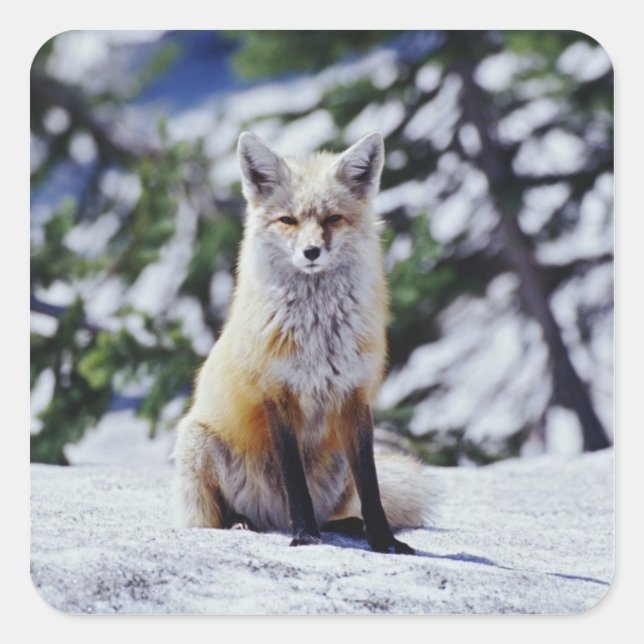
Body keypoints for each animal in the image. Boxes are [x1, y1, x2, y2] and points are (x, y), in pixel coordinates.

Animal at [172, 131, 432, 554]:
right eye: (288, 220)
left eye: (332, 219)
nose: (311, 251)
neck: (318, 335)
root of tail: (273, 519)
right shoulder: (277, 395)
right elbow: (295, 481)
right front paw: (306, 536)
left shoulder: (355, 397)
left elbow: (372, 486)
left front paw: (383, 540)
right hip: (197, 441)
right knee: (218, 517)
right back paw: (244, 522)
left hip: (338, 463)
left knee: (340, 509)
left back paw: (348, 525)